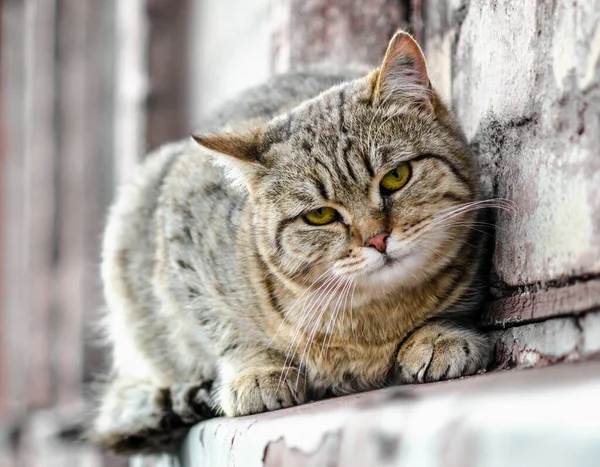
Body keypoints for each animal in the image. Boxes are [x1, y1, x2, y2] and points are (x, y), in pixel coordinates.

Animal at [90, 31, 492, 456]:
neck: (371, 321)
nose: (377, 239)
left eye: (396, 177)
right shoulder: (183, 233)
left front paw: (438, 333)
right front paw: (257, 369)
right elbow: (224, 328)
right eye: (320, 216)